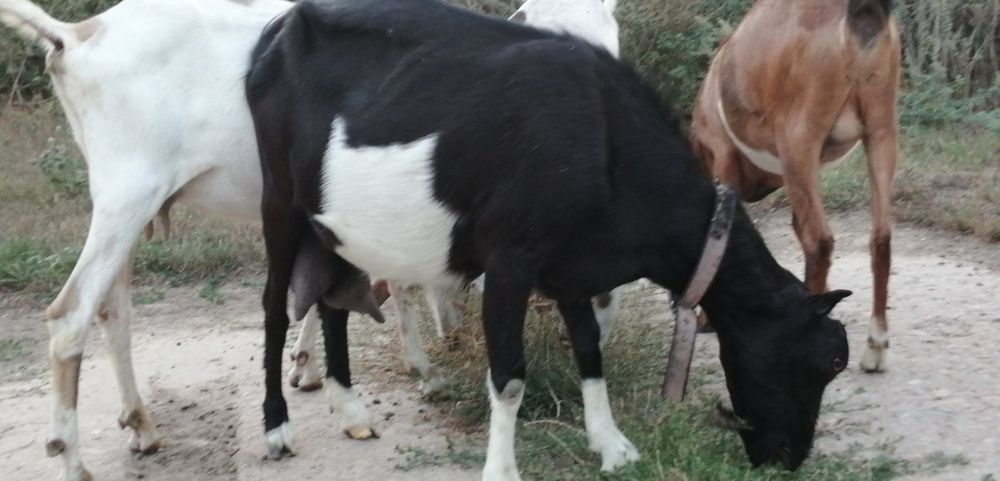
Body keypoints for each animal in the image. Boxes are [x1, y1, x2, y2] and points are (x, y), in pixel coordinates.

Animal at [246, 0, 852, 478]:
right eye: (826, 362)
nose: (788, 459)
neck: (602, 142)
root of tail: (279, 29)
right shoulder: (510, 260)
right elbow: (510, 376)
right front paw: (502, 471)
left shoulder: (573, 266)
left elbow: (589, 348)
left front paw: (612, 445)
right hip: (280, 199)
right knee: (275, 304)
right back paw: (276, 429)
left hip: (329, 222)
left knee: (332, 300)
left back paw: (352, 413)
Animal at [690, 0, 901, 372]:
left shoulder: (724, 159)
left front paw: (707, 319)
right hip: (881, 133)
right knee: (881, 239)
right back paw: (875, 345)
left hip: (798, 140)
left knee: (819, 241)